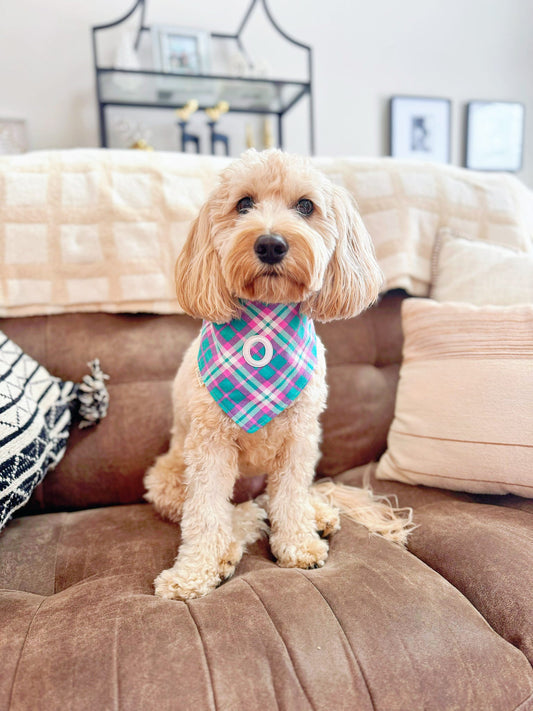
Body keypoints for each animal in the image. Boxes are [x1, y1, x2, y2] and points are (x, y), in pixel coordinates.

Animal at [144, 150, 412, 600]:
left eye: (305, 206)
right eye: (243, 204)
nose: (271, 244)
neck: (265, 322)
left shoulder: (299, 439)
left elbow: (289, 499)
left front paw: (299, 545)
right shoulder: (209, 447)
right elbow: (205, 515)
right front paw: (193, 574)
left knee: (279, 500)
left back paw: (317, 514)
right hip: (167, 478)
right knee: (240, 512)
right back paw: (229, 548)